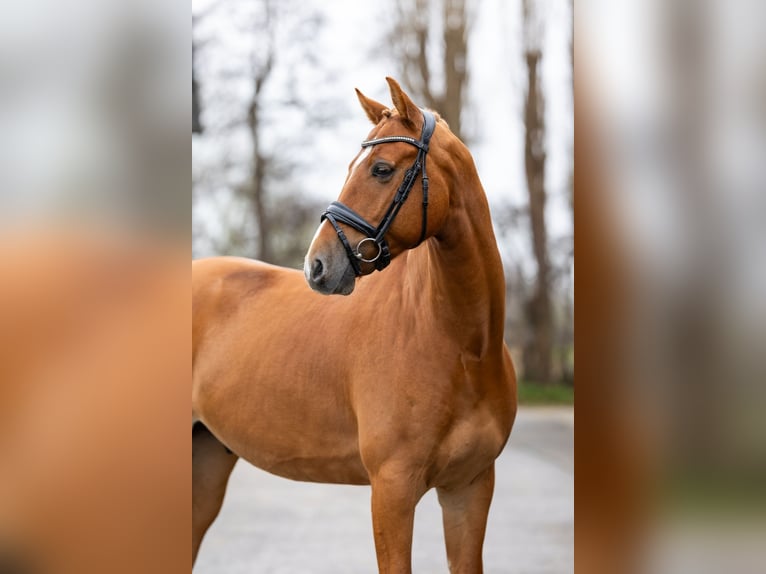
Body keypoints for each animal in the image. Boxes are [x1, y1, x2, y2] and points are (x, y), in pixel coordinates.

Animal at [192, 79, 520, 572]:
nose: (317, 266)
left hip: (206, 462)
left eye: (381, 169)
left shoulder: (471, 487)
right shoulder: (392, 490)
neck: (461, 348)